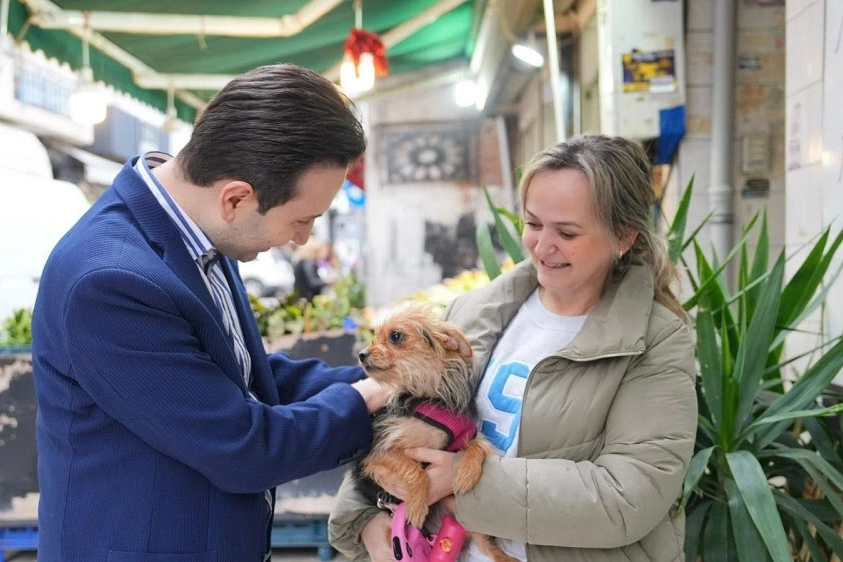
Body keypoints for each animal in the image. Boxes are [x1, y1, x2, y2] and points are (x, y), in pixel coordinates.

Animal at [352, 306, 516, 560]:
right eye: (374, 336)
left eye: (396, 336)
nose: (361, 354)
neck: (429, 395)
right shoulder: (378, 451)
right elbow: (414, 471)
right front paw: (417, 506)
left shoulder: (468, 434)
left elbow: (478, 445)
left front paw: (466, 474)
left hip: (460, 512)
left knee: (485, 544)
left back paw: (506, 557)